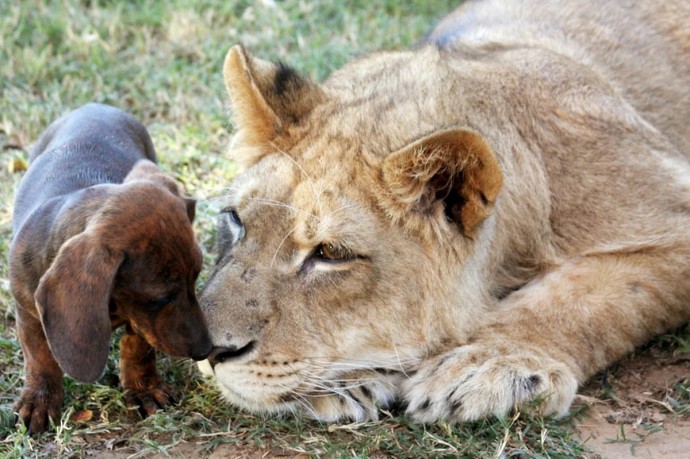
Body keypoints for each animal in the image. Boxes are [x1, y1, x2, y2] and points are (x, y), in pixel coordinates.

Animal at [8, 104, 212, 434]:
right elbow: (40, 359)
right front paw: (39, 401)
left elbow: (138, 347)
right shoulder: (28, 312)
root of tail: (93, 106)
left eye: (196, 278)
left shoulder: (140, 319)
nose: (206, 350)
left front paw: (143, 389)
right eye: (161, 297)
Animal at [195, 0, 688, 424]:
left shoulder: (671, 209)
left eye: (330, 254)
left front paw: (491, 364)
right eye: (236, 220)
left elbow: (584, 295)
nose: (207, 350)